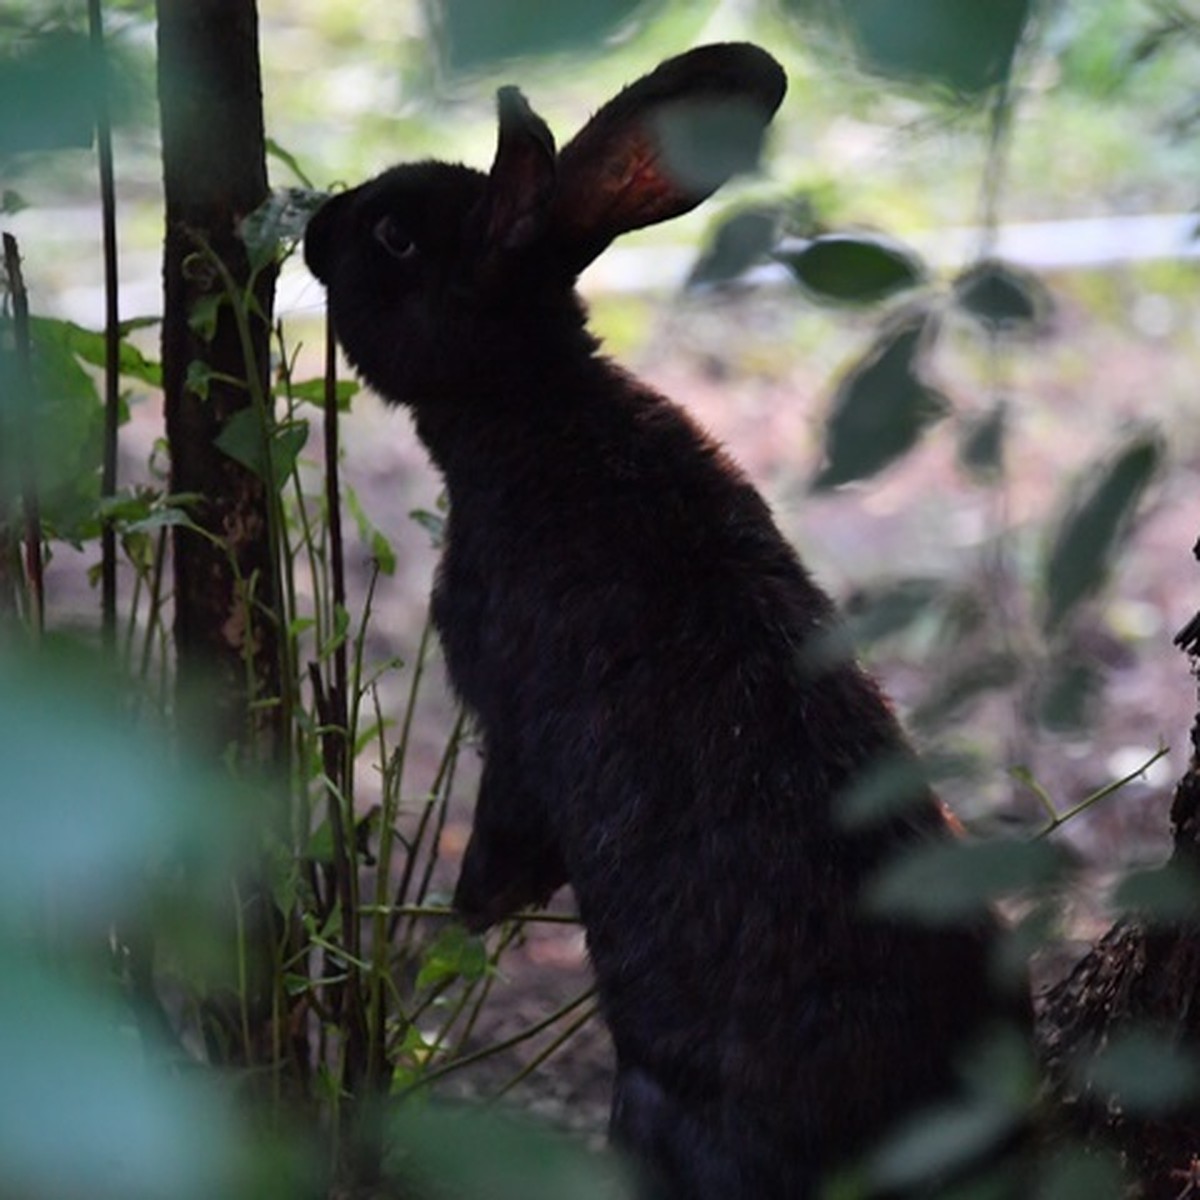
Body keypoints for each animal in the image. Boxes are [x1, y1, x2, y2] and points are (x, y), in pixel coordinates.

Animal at [302, 42, 1012, 1195]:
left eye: (395, 236)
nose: (318, 225)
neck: (533, 404)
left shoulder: (509, 718)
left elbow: (508, 824)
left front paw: (465, 914)